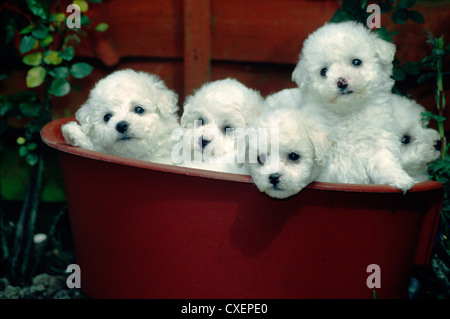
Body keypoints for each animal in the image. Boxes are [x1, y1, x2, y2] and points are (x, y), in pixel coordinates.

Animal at [294, 22, 416, 194]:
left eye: (356, 62)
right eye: (324, 71)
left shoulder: (378, 140)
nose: (341, 82)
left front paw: (399, 178)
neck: (348, 113)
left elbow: (385, 161)